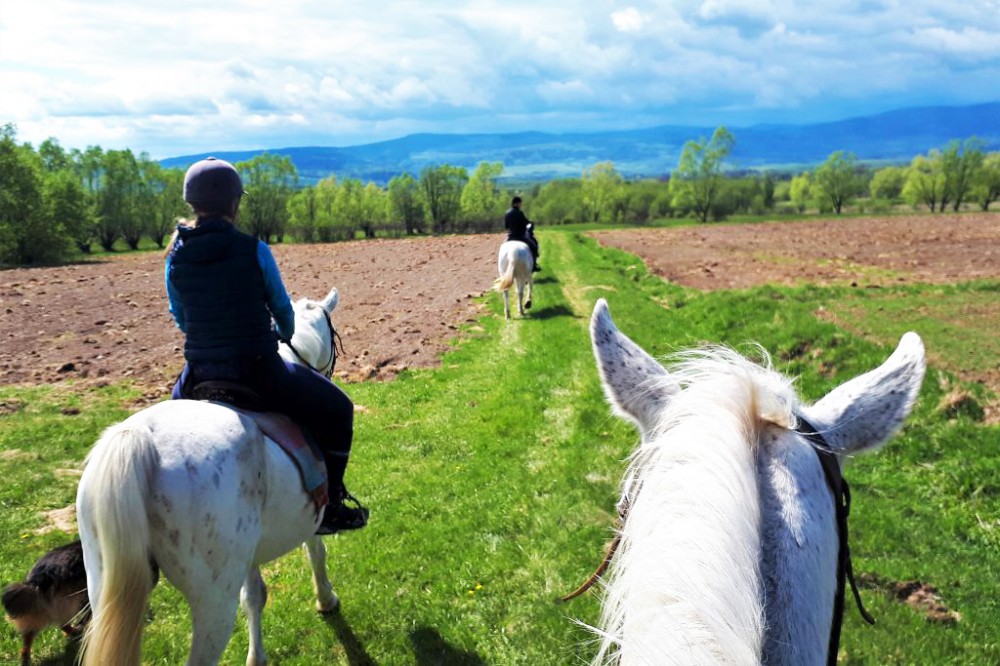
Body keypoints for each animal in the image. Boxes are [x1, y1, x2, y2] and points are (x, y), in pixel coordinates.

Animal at [76, 286, 346, 664]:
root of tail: (140, 440)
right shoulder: (312, 515)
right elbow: (316, 553)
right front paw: (326, 599)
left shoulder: (247, 553)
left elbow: (255, 596)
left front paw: (256, 656)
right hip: (213, 601)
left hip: (102, 585)